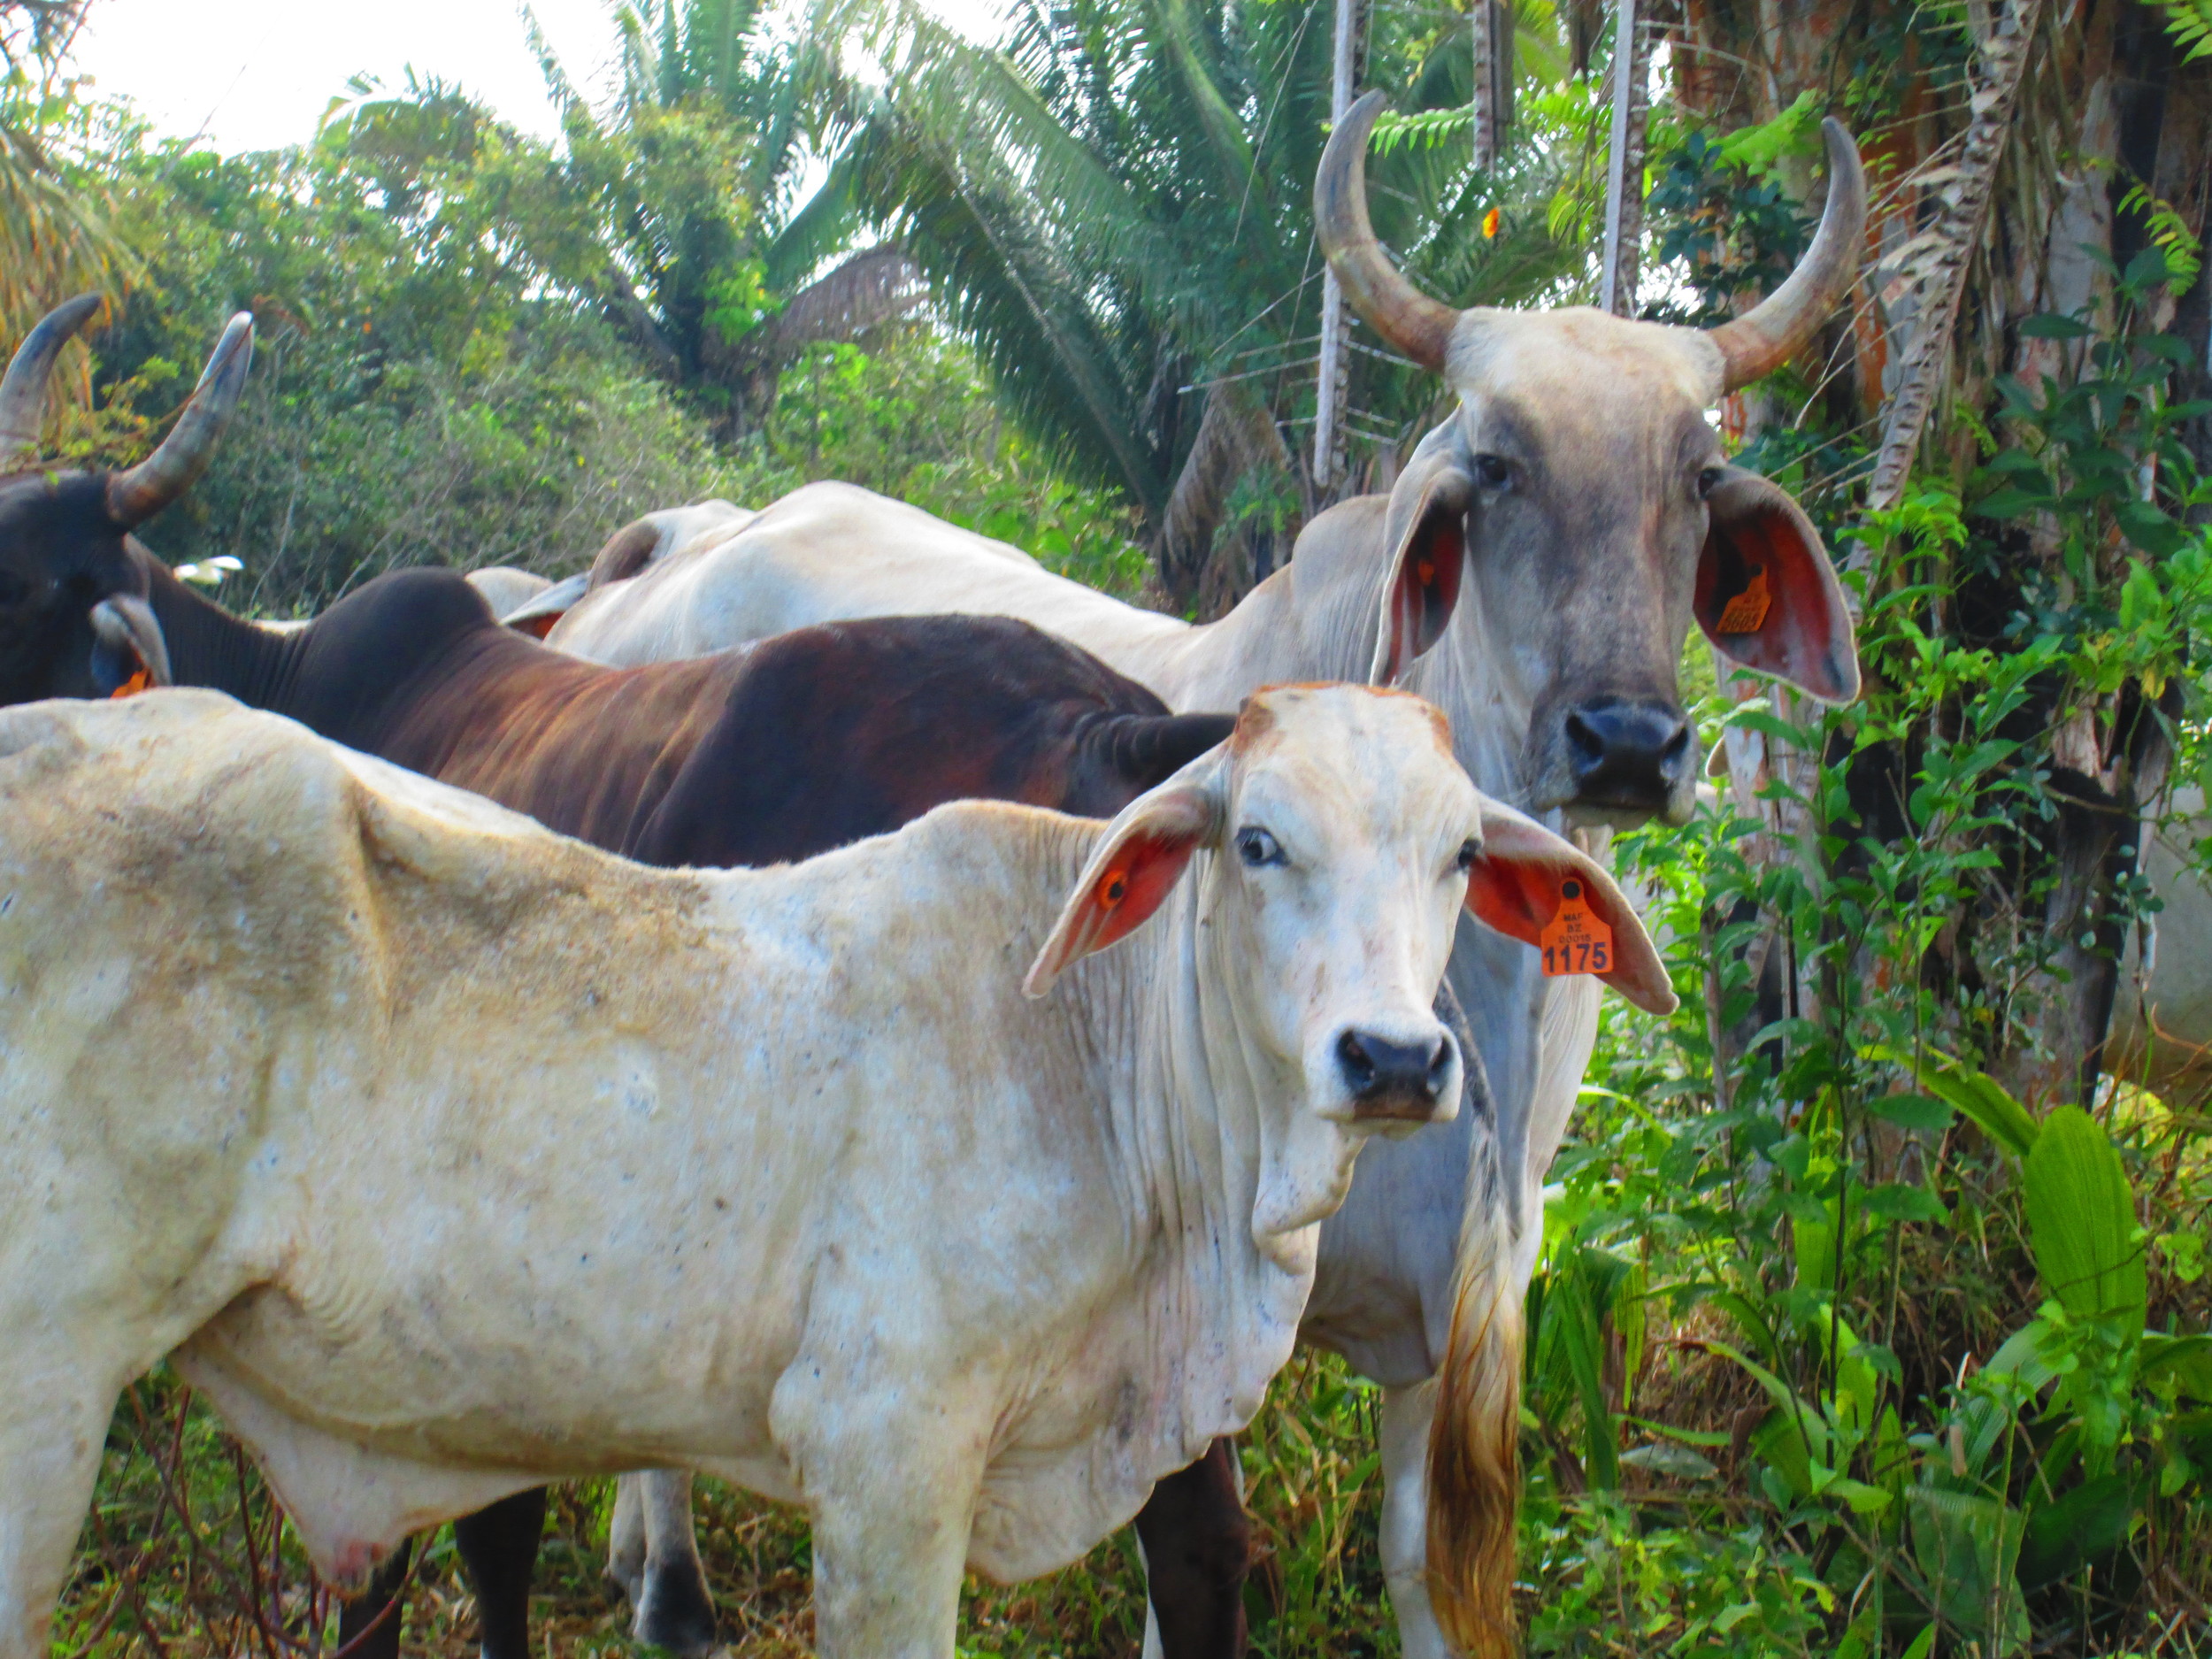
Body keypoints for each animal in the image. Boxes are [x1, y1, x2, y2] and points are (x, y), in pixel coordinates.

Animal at [515, 100, 1869, 1659]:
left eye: (1698, 476)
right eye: (1496, 463)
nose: (1630, 742)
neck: (1480, 1006)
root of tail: (682, 540)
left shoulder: (1456, 1323)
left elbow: (1419, 1568)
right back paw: (669, 1580)